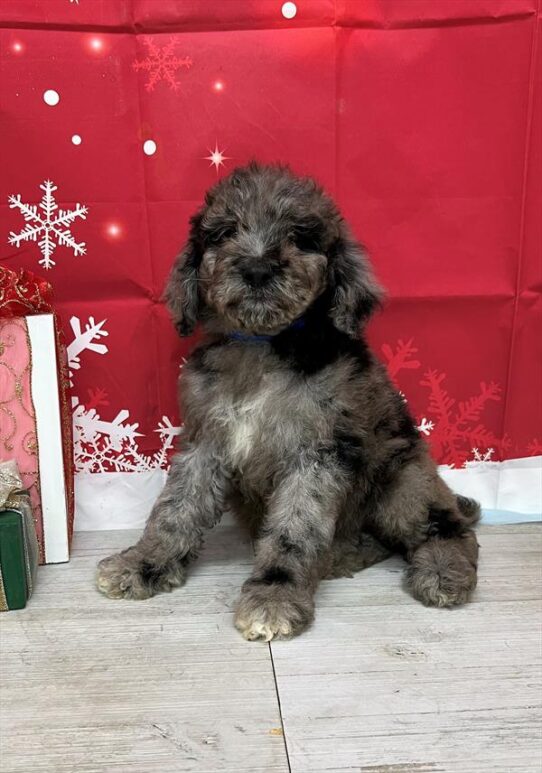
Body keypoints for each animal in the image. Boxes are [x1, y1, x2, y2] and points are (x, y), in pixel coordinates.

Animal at [96, 161, 480, 640]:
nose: (258, 268)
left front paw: (274, 597)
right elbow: (175, 509)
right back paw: (345, 554)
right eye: (224, 233)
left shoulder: (315, 455)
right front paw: (142, 562)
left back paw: (443, 572)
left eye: (300, 237)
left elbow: (294, 530)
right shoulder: (205, 442)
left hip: (405, 481)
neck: (262, 345)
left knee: (448, 529)